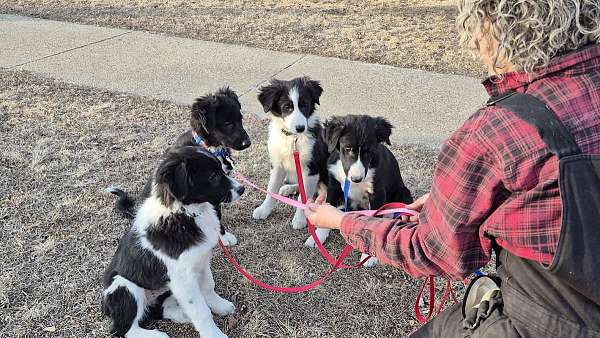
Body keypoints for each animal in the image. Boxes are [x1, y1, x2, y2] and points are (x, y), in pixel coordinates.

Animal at [102, 147, 244, 338]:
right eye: (213, 176)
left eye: (221, 169)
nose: (242, 189)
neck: (184, 215)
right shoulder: (183, 278)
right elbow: (201, 311)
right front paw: (214, 334)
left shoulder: (200, 260)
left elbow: (208, 286)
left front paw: (219, 305)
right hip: (124, 286)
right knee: (122, 329)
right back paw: (156, 335)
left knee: (156, 310)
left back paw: (182, 315)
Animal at [252, 76, 330, 230]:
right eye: (287, 107)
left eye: (304, 105)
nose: (300, 128)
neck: (293, 138)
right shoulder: (277, 164)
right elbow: (271, 189)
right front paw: (264, 209)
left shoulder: (311, 168)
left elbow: (304, 197)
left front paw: (300, 219)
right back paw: (288, 188)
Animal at [310, 115, 412, 266]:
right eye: (347, 148)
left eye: (369, 151)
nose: (356, 179)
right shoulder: (333, 185)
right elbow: (328, 205)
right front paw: (319, 235)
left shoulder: (377, 193)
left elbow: (376, 221)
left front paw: (369, 255)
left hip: (402, 192)